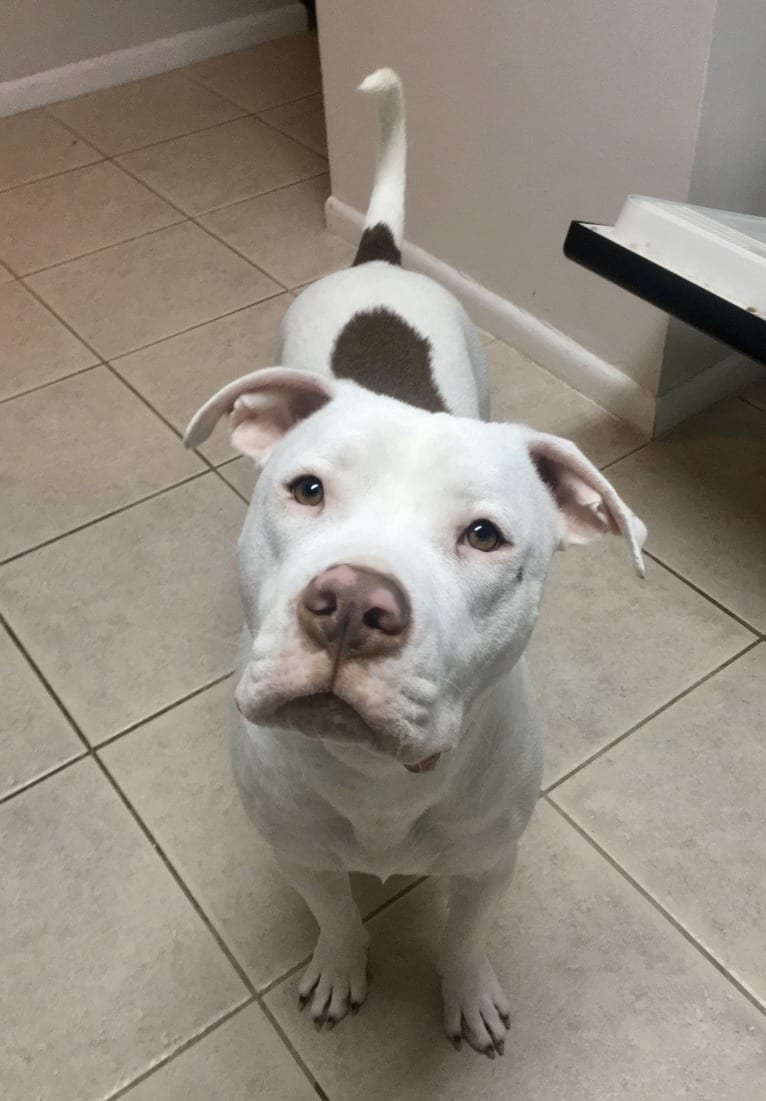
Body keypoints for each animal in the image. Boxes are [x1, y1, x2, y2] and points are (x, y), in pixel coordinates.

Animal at [187, 68, 647, 1056]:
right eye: (306, 488)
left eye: (485, 536)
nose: (353, 604)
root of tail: (380, 259)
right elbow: (334, 914)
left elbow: (465, 935)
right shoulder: (299, 852)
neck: (375, 780)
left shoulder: (487, 860)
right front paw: (340, 967)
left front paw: (467, 993)